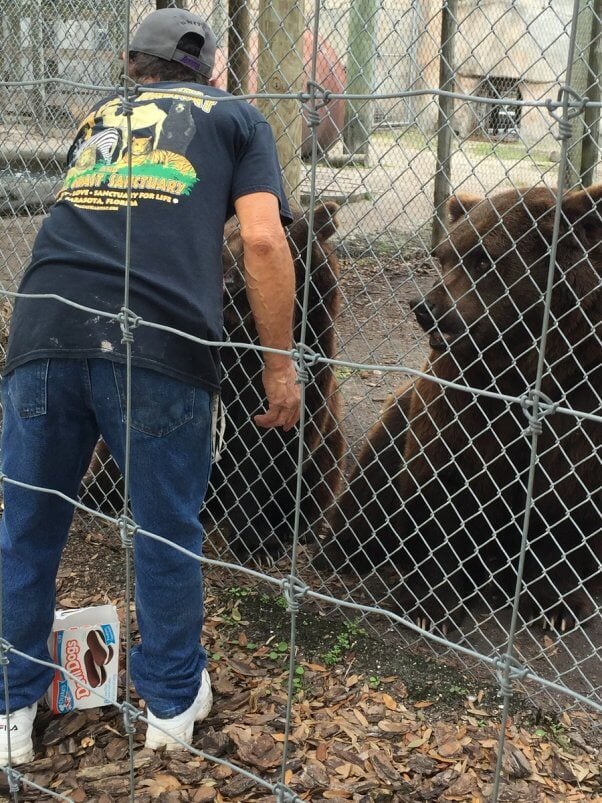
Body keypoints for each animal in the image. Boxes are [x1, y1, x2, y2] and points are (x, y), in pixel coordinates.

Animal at [81, 203, 342, 564]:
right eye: (224, 235)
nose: (228, 282)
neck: (245, 332)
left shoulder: (305, 357)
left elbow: (268, 454)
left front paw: (258, 542)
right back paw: (96, 493)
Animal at [322, 182, 596, 636]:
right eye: (445, 254)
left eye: (484, 258)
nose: (425, 307)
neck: (519, 367)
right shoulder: (460, 392)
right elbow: (445, 479)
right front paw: (428, 602)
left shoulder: (580, 393)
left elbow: (568, 497)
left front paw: (556, 606)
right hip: (398, 411)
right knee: (373, 476)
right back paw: (344, 549)